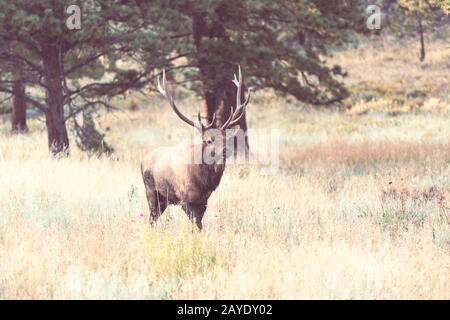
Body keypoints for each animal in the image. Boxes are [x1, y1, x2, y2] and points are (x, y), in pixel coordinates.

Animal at [142, 66, 250, 229]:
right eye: (209, 140)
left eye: (226, 138)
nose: (226, 150)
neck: (205, 183)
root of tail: (142, 160)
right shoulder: (185, 199)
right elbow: (197, 226)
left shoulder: (204, 201)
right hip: (151, 191)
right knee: (151, 219)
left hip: (164, 200)